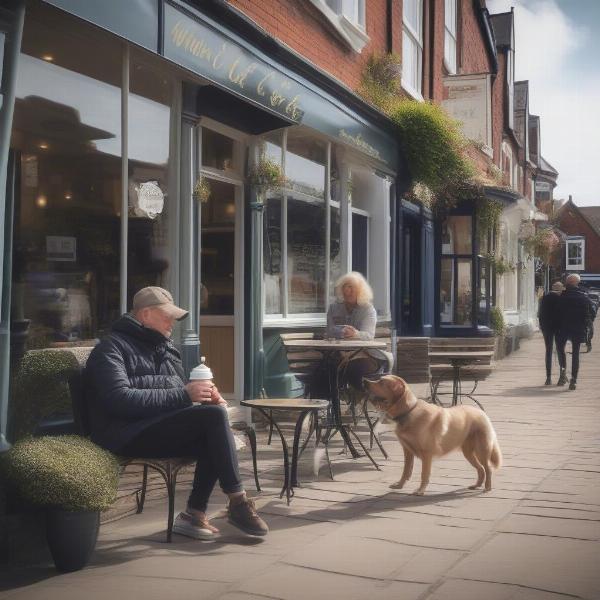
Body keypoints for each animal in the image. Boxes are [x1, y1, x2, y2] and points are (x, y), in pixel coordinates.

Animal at [366, 376, 502, 496]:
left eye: (382, 382)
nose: (364, 380)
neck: (408, 411)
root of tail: (482, 412)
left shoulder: (427, 454)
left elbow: (424, 474)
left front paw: (420, 491)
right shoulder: (407, 451)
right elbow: (406, 471)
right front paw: (399, 485)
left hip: (482, 450)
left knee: (488, 468)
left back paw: (487, 488)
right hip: (468, 453)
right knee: (481, 469)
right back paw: (476, 485)